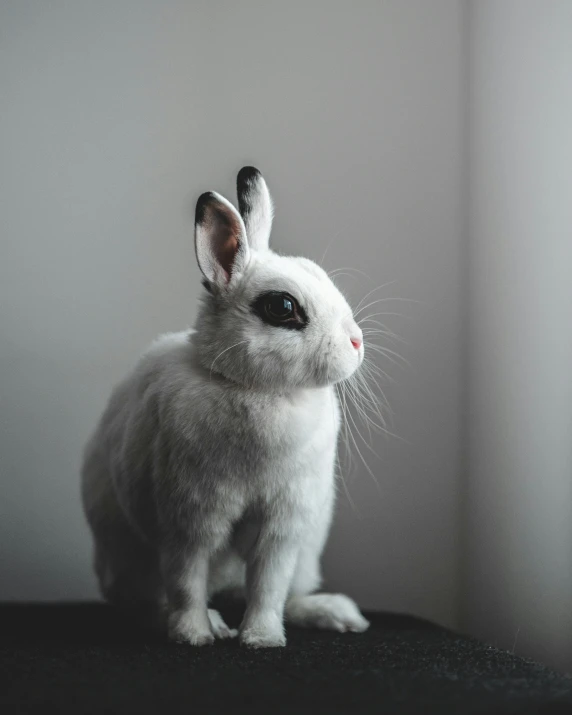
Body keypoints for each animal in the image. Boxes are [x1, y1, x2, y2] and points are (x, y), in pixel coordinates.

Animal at [80, 168, 368, 648]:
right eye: (283, 306)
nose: (356, 343)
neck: (257, 389)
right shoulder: (189, 519)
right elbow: (186, 581)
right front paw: (194, 636)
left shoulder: (283, 527)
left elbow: (268, 585)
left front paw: (262, 639)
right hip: (129, 559)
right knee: (145, 602)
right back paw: (209, 622)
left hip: (307, 555)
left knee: (288, 592)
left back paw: (337, 614)